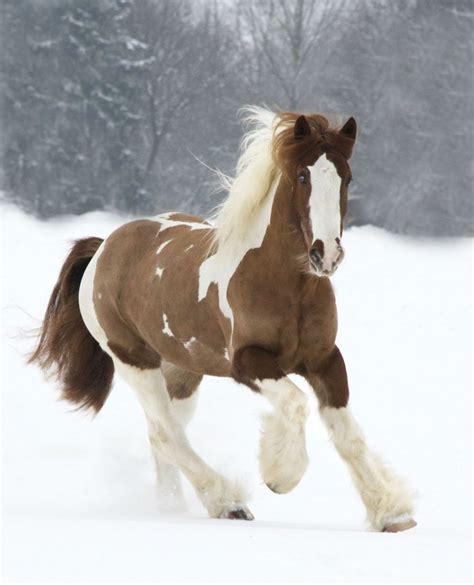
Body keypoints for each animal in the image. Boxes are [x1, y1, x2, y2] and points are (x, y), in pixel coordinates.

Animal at [29, 107, 416, 532]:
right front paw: (280, 475)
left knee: (162, 434)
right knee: (168, 435)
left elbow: (348, 435)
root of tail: (104, 247)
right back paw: (227, 502)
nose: (326, 255)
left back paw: (172, 508)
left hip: (183, 371)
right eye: (303, 176)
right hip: (134, 360)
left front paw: (392, 512)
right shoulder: (248, 361)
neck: (286, 284)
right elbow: (295, 404)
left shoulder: (325, 360)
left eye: (346, 176)